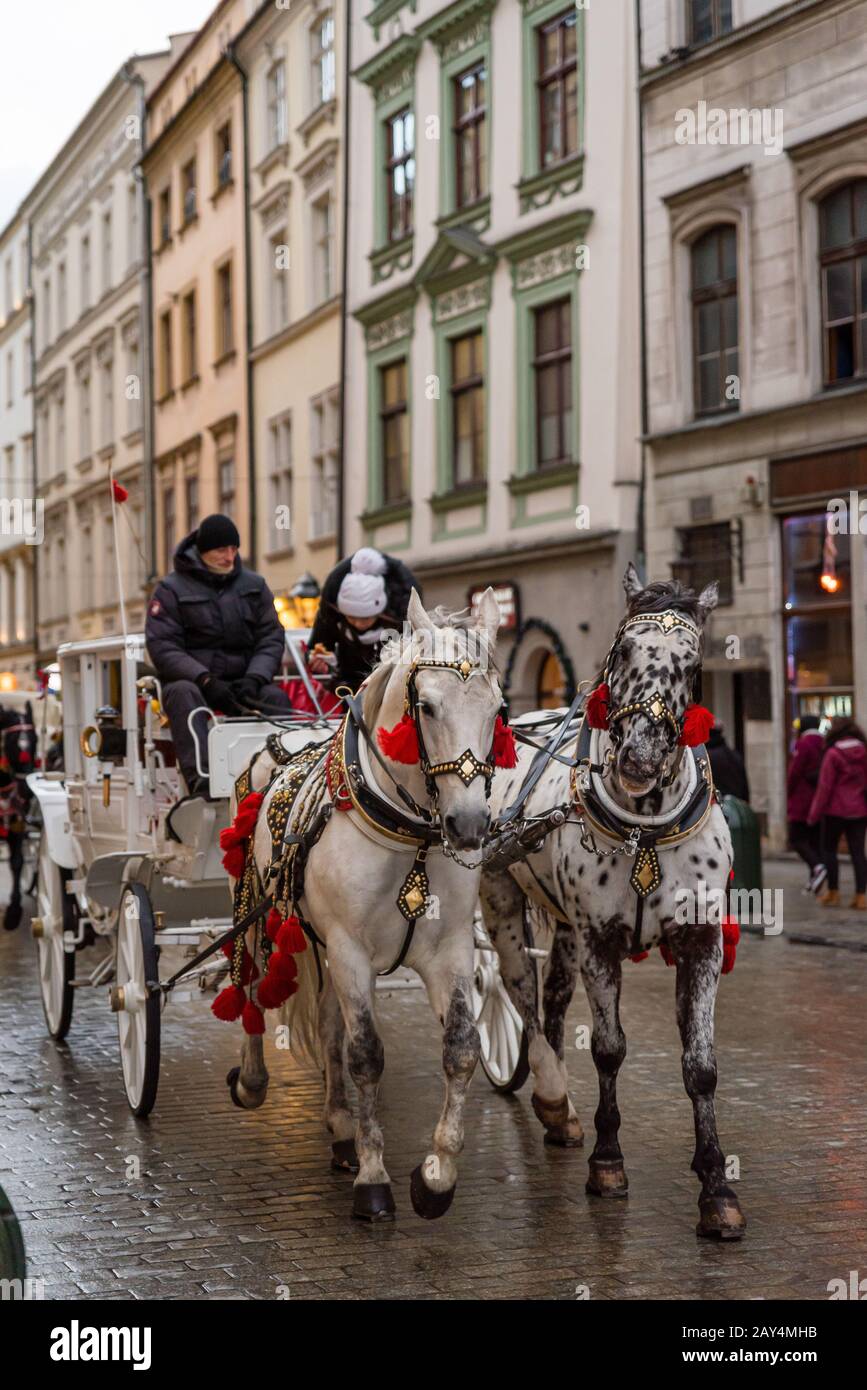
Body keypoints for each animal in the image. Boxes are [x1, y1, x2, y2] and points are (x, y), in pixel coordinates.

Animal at [226, 592, 505, 1223]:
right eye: (426, 706)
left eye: (498, 710)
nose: (469, 825)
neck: (411, 838)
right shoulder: (350, 949)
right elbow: (366, 1055)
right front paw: (375, 1180)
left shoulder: (451, 949)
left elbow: (460, 1049)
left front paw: (436, 1176)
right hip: (262, 913)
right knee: (252, 987)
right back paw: (255, 1082)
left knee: (330, 1025)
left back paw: (339, 1128)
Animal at [480, 569, 744, 1245]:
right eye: (622, 650)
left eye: (693, 664)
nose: (639, 761)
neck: (644, 831)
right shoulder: (601, 939)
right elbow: (609, 1047)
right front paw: (607, 1163)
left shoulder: (701, 941)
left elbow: (701, 1065)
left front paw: (716, 1189)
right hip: (500, 900)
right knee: (520, 992)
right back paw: (550, 1091)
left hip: (565, 923)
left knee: (552, 996)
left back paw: (558, 1109)